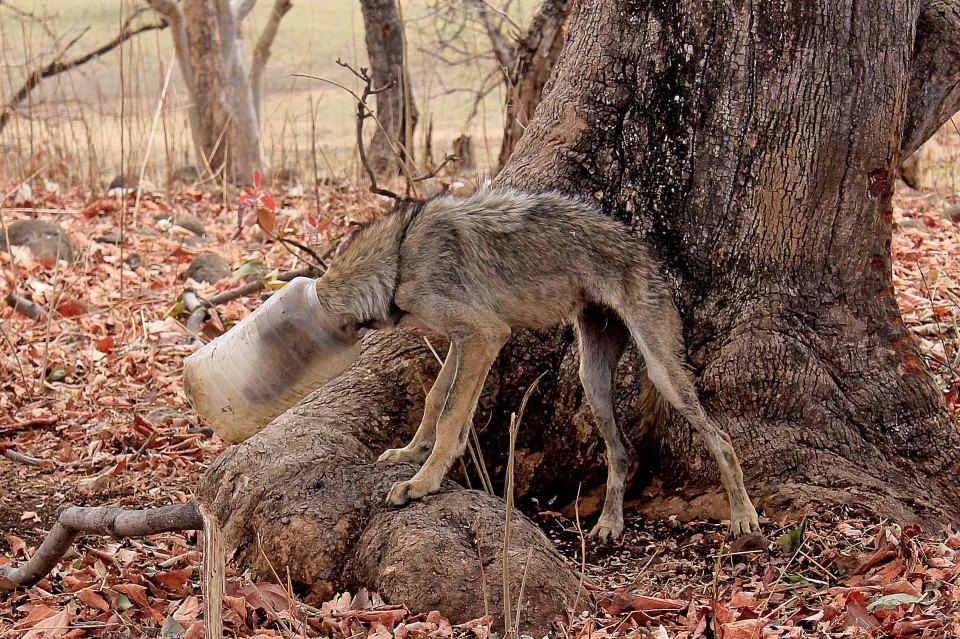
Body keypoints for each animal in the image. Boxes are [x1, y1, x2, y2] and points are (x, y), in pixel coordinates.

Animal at [314, 188, 756, 544]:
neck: (399, 256)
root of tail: (645, 253)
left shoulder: (485, 334)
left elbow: (451, 417)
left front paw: (422, 483)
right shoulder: (464, 339)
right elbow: (436, 398)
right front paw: (411, 453)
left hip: (661, 374)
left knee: (722, 439)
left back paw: (744, 516)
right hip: (592, 381)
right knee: (621, 451)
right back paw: (609, 524)